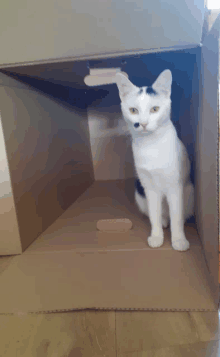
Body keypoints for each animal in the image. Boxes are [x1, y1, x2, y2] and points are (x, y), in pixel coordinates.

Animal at [115, 69, 194, 250]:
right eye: (133, 110)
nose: (143, 123)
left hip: (190, 192)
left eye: (155, 109)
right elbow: (154, 215)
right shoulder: (149, 188)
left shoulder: (175, 187)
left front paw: (179, 240)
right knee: (162, 215)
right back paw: (164, 222)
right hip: (139, 193)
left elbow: (176, 217)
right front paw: (157, 236)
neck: (151, 145)